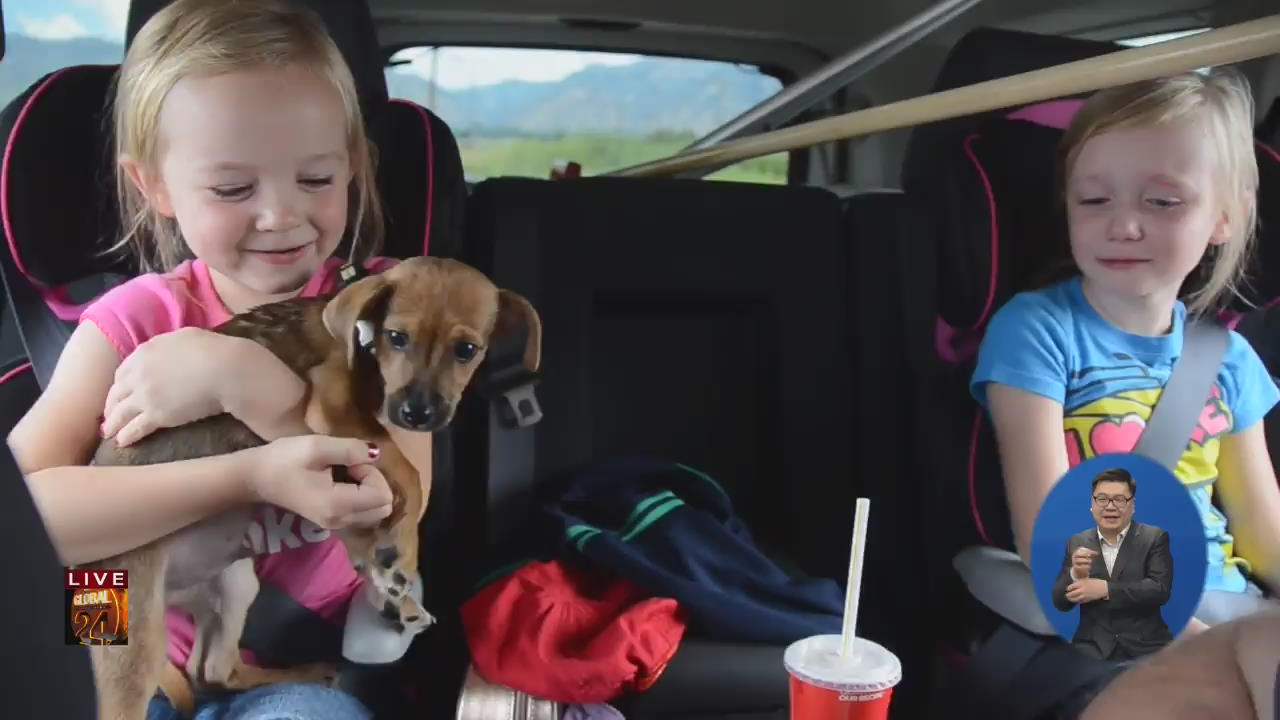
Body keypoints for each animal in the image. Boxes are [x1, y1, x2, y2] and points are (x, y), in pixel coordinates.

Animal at [80, 257, 540, 717]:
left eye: (466, 351)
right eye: (397, 337)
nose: (417, 414)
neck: (364, 343)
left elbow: (366, 532)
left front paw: (391, 580)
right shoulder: (335, 412)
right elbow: (408, 476)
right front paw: (402, 550)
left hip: (235, 584)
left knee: (212, 668)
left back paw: (304, 671)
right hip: (135, 633)